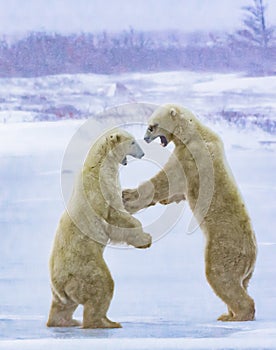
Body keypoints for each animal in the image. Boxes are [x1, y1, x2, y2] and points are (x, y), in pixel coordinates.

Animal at [46, 129, 152, 328]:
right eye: (132, 142)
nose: (143, 153)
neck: (99, 166)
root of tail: (59, 282)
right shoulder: (102, 190)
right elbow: (116, 217)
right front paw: (145, 239)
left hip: (62, 288)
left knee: (62, 305)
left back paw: (66, 321)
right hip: (86, 268)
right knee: (102, 287)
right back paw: (105, 322)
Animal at [123, 104, 256, 322]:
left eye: (152, 126)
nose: (145, 138)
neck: (194, 132)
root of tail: (252, 257)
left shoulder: (189, 158)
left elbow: (165, 182)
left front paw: (126, 196)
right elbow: (172, 194)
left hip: (223, 249)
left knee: (221, 276)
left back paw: (236, 315)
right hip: (244, 268)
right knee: (240, 283)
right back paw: (228, 313)